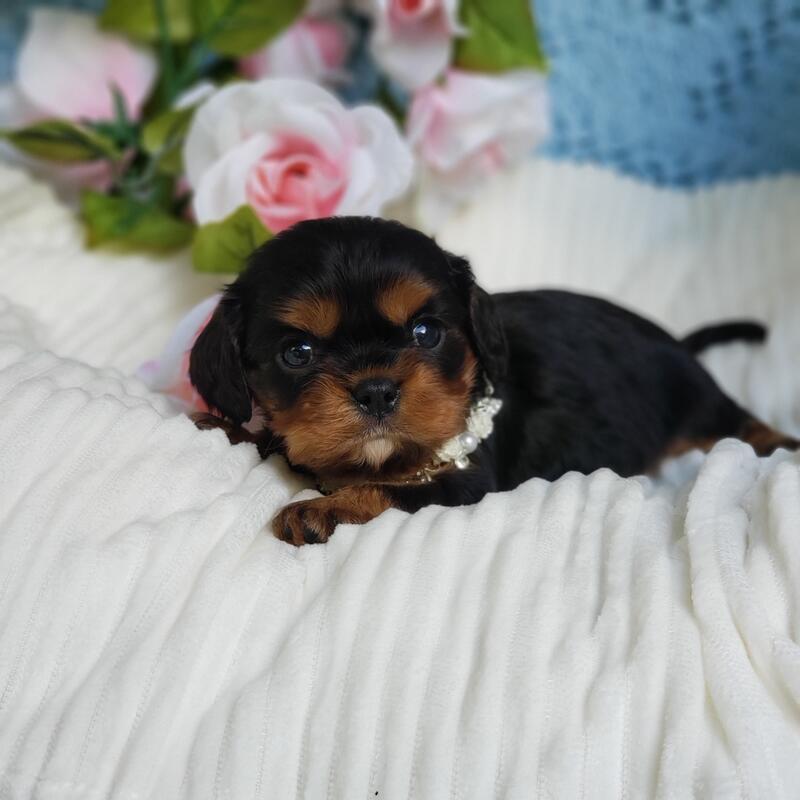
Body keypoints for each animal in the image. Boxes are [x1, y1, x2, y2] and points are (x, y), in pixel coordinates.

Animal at [189, 216, 797, 545]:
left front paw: (322, 508)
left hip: (699, 402)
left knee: (740, 423)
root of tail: (678, 344)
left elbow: (388, 490)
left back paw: (781, 445)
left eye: (427, 332)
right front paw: (227, 428)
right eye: (298, 353)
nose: (377, 390)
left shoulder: (465, 482)